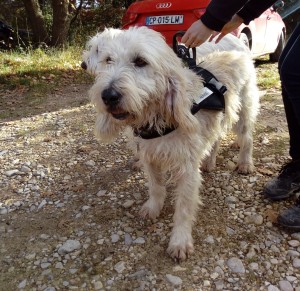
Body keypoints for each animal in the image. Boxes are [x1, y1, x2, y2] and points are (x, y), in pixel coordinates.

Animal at [87, 26, 260, 262]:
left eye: (140, 61)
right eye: (107, 59)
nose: (108, 95)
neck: (158, 117)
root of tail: (237, 52)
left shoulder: (187, 169)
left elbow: (184, 208)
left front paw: (180, 240)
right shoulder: (149, 157)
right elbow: (156, 187)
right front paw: (153, 208)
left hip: (243, 114)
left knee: (247, 138)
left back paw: (245, 163)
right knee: (215, 139)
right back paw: (210, 161)